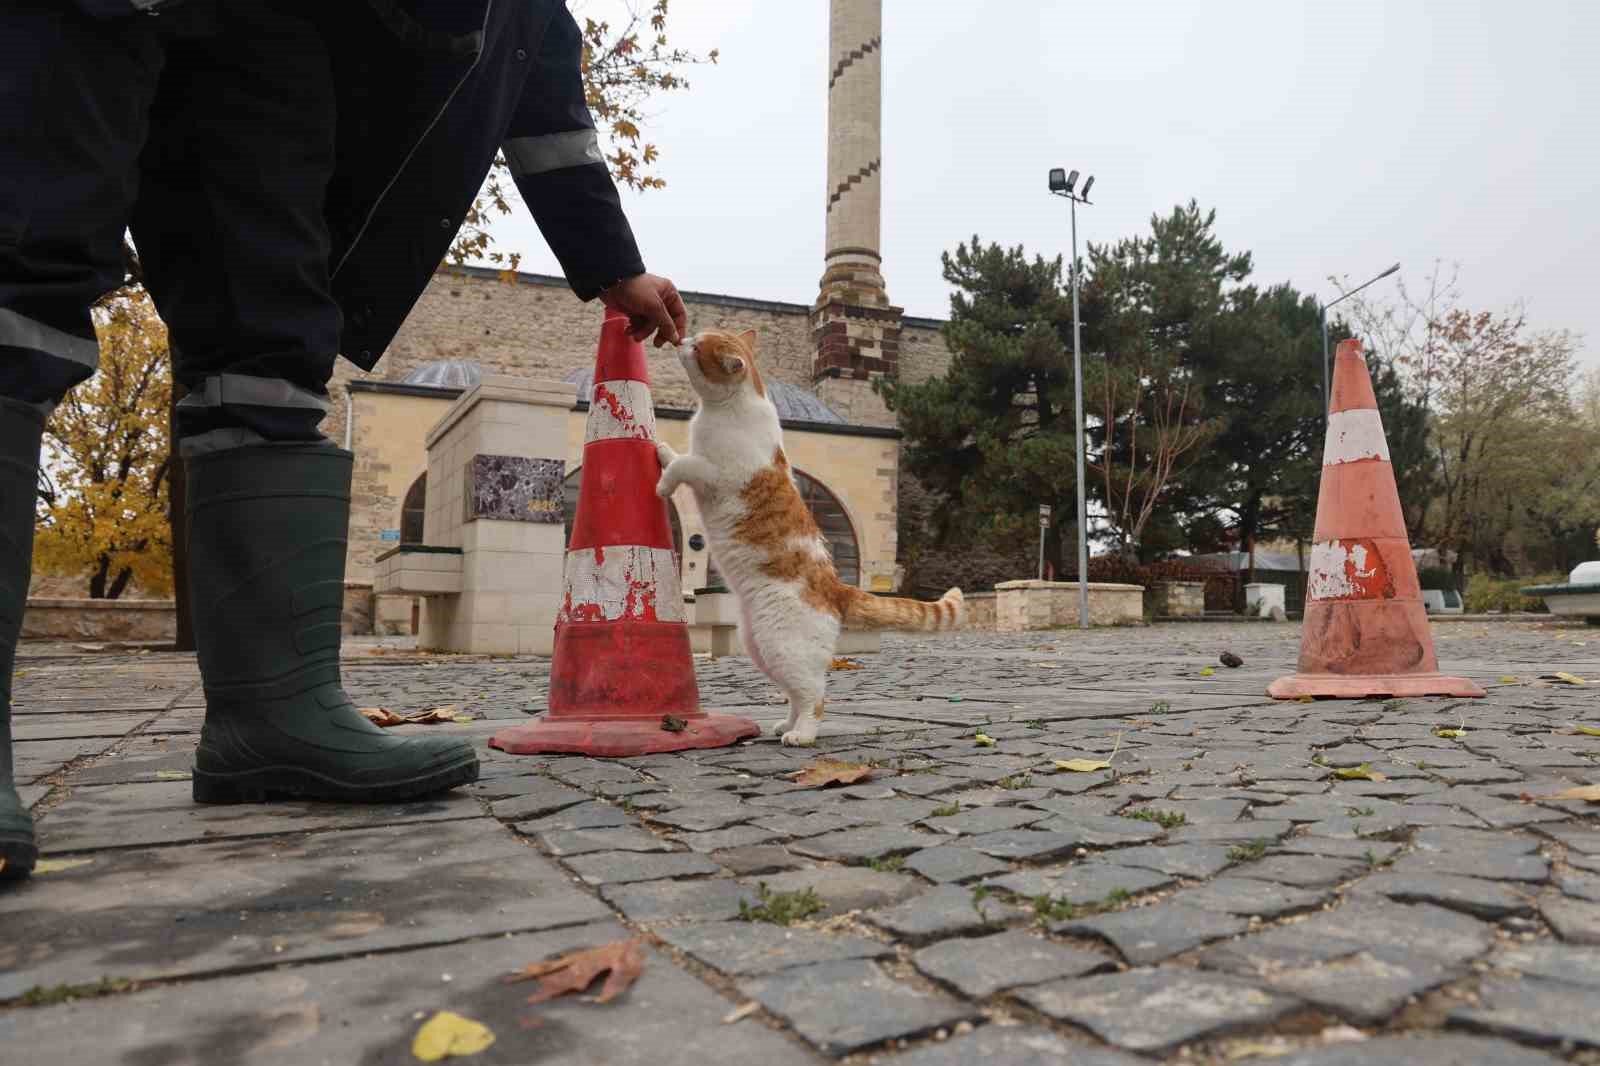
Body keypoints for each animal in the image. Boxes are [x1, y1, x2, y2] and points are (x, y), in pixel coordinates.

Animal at [652, 328, 960, 742]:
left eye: (699, 347)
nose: (681, 339)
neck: (725, 408)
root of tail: (836, 588)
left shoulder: (711, 472)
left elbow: (682, 465)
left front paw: (662, 484)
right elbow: (676, 455)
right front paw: (660, 448)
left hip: (783, 648)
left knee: (815, 696)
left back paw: (801, 734)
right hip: (760, 648)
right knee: (795, 694)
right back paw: (787, 724)